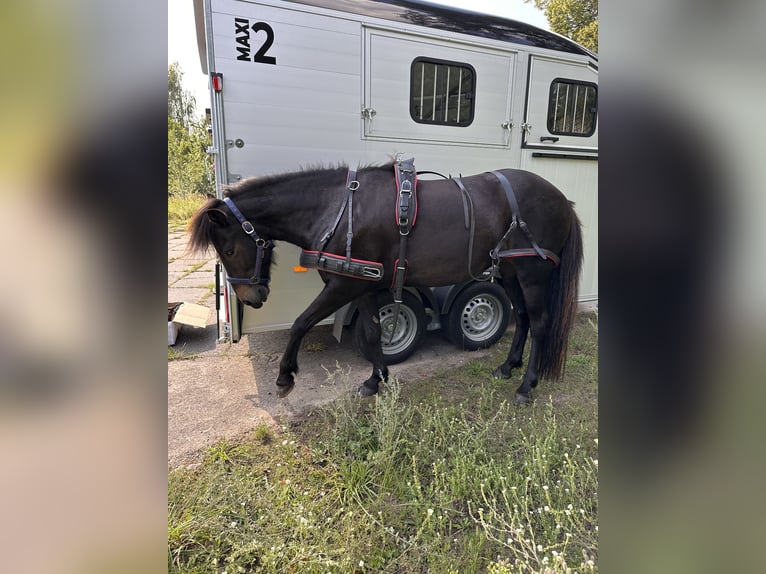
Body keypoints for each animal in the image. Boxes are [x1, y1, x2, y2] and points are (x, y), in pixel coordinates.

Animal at [188, 163, 584, 404]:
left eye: (228, 248)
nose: (251, 296)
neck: (339, 211)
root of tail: (562, 198)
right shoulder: (364, 286)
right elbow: (375, 331)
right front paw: (376, 379)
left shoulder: (342, 286)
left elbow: (301, 323)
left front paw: (285, 377)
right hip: (511, 273)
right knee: (524, 318)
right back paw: (507, 366)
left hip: (533, 275)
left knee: (541, 323)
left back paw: (526, 385)